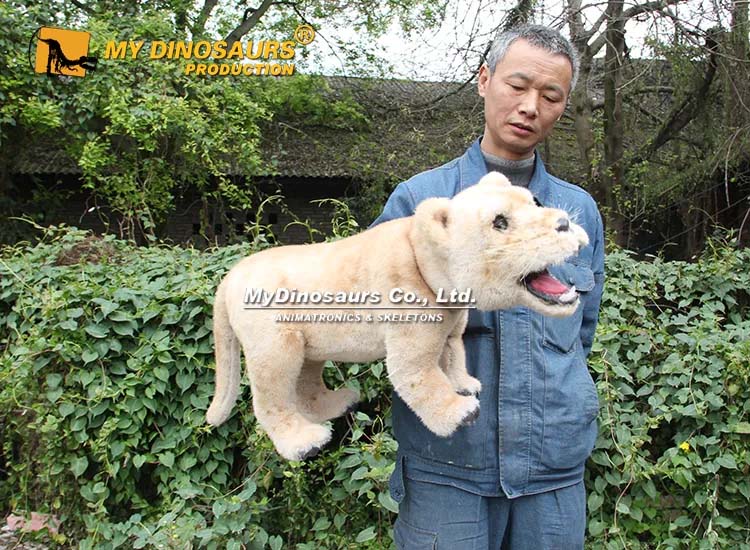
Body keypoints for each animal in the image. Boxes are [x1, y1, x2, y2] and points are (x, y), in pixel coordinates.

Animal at [206, 172, 589, 461]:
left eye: (533, 202)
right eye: (500, 221)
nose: (564, 223)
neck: (428, 263)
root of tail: (230, 278)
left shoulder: (451, 326)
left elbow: (453, 355)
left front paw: (466, 384)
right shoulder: (409, 331)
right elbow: (420, 376)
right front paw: (461, 411)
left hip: (308, 345)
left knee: (307, 380)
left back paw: (339, 402)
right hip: (274, 341)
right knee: (271, 394)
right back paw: (304, 441)